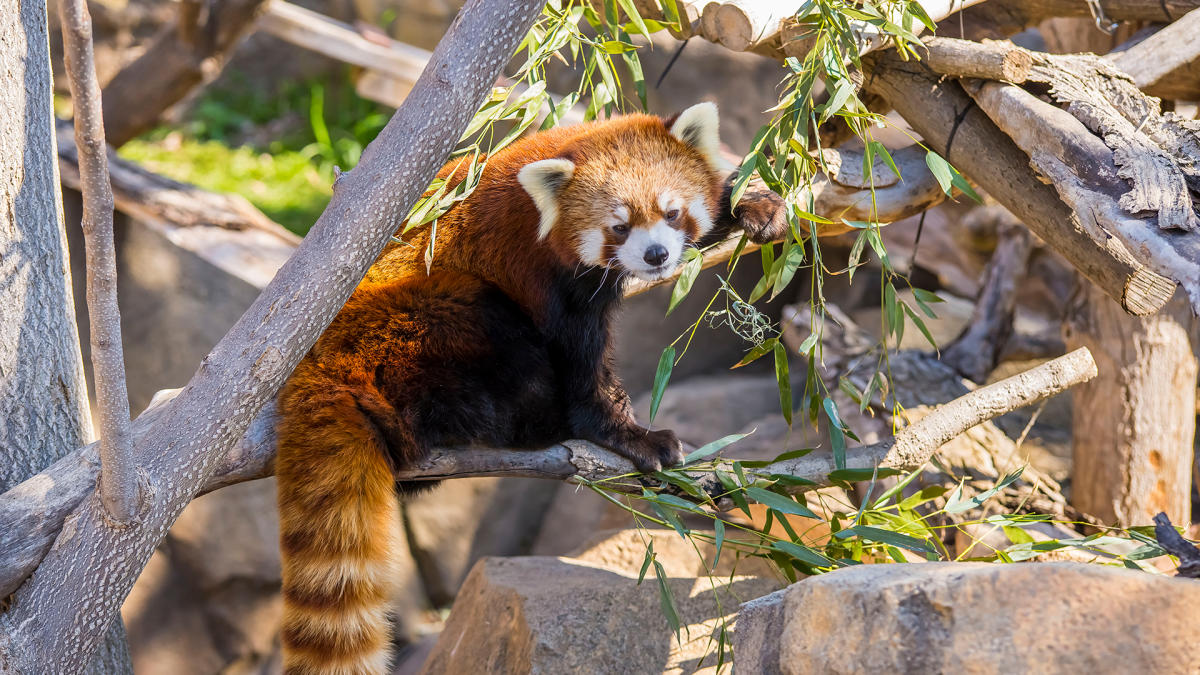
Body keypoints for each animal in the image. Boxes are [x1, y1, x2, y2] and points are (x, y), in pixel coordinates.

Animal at [276, 102, 792, 667]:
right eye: (619, 226)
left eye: (672, 213)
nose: (656, 255)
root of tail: (315, 358)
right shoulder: (541, 274)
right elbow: (583, 365)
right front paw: (629, 436)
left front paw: (751, 201)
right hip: (429, 320)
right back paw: (533, 426)